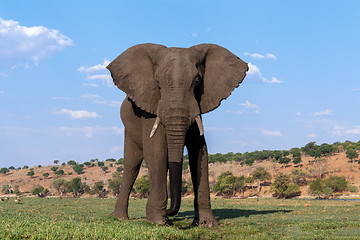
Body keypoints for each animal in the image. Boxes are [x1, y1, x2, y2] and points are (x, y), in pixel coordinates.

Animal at [107, 43, 248, 227]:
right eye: (157, 83)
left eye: (197, 81)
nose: (169, 212)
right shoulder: (150, 110)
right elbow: (157, 152)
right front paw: (159, 222)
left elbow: (200, 152)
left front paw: (207, 224)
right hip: (129, 127)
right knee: (132, 165)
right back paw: (120, 218)